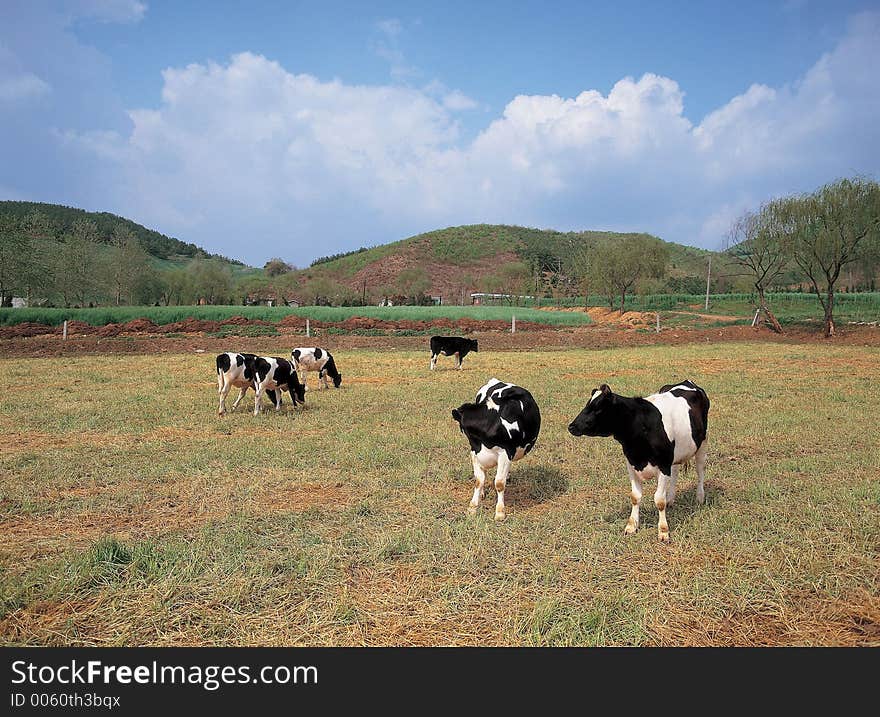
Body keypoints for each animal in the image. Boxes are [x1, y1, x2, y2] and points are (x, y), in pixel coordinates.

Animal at [454, 374, 544, 520]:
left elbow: (499, 483)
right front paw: (473, 506)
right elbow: (479, 480)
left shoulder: (506, 453)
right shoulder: (474, 452)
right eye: (467, 433)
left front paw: (500, 512)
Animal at [572, 380, 708, 544]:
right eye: (587, 404)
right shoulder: (631, 464)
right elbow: (635, 496)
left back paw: (700, 498)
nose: (571, 426)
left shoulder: (663, 465)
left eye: (598, 409)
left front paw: (663, 531)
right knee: (675, 472)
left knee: (700, 470)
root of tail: (687, 381)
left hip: (702, 443)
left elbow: (659, 500)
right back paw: (671, 499)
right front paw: (631, 526)